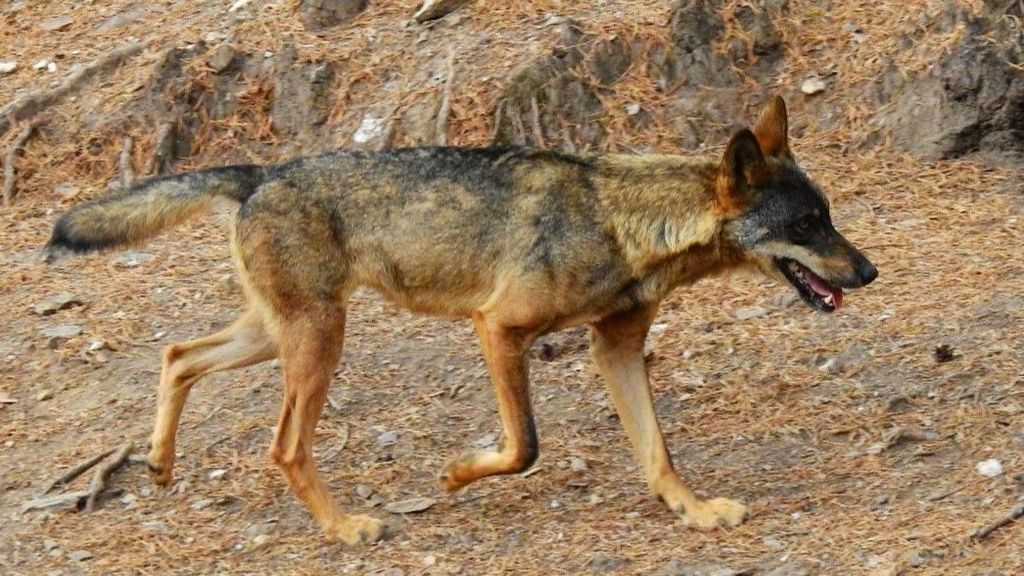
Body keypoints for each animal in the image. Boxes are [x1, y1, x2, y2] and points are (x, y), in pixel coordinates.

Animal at [45, 96, 877, 545]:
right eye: (808, 226)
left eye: (829, 217)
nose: (868, 271)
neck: (621, 220)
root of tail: (261, 172)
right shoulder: (498, 329)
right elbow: (525, 447)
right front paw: (454, 474)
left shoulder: (615, 348)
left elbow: (658, 453)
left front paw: (695, 511)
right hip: (317, 344)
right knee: (282, 446)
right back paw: (345, 529)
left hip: (276, 336)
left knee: (176, 353)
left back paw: (159, 463)